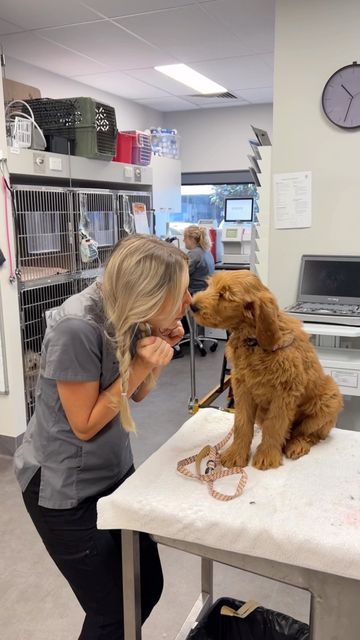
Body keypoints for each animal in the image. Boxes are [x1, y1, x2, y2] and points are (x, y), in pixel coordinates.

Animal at [191, 270, 344, 470]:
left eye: (225, 295)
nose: (192, 305)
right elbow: (242, 423)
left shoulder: (284, 393)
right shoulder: (243, 389)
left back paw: (297, 444)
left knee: (308, 433)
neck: (254, 342)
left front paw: (267, 456)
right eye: (210, 286)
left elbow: (274, 425)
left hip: (329, 400)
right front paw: (236, 454)